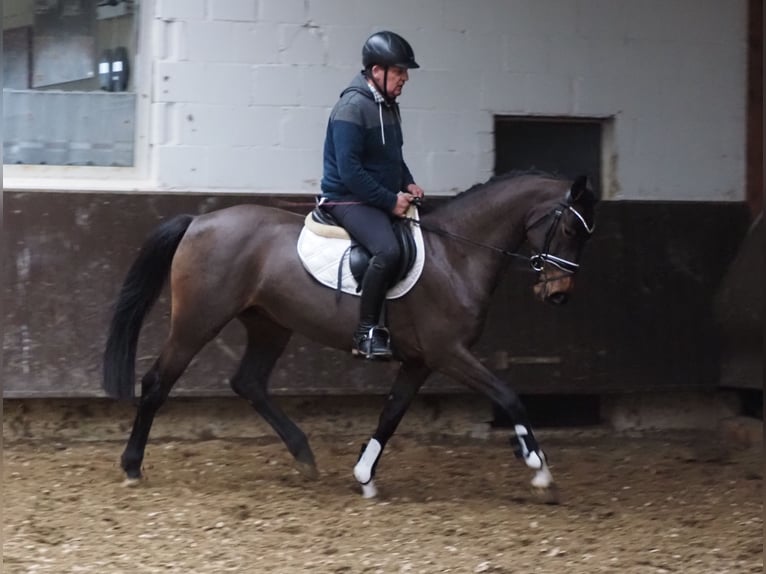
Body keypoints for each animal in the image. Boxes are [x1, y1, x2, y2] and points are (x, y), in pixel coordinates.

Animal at [103, 170, 600, 500]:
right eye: (569, 227)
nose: (558, 294)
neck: (456, 254)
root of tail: (198, 222)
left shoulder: (420, 362)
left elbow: (392, 414)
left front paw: (364, 475)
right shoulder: (449, 353)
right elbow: (508, 395)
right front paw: (537, 466)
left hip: (270, 324)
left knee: (248, 382)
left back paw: (304, 456)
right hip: (198, 322)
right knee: (158, 382)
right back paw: (131, 466)